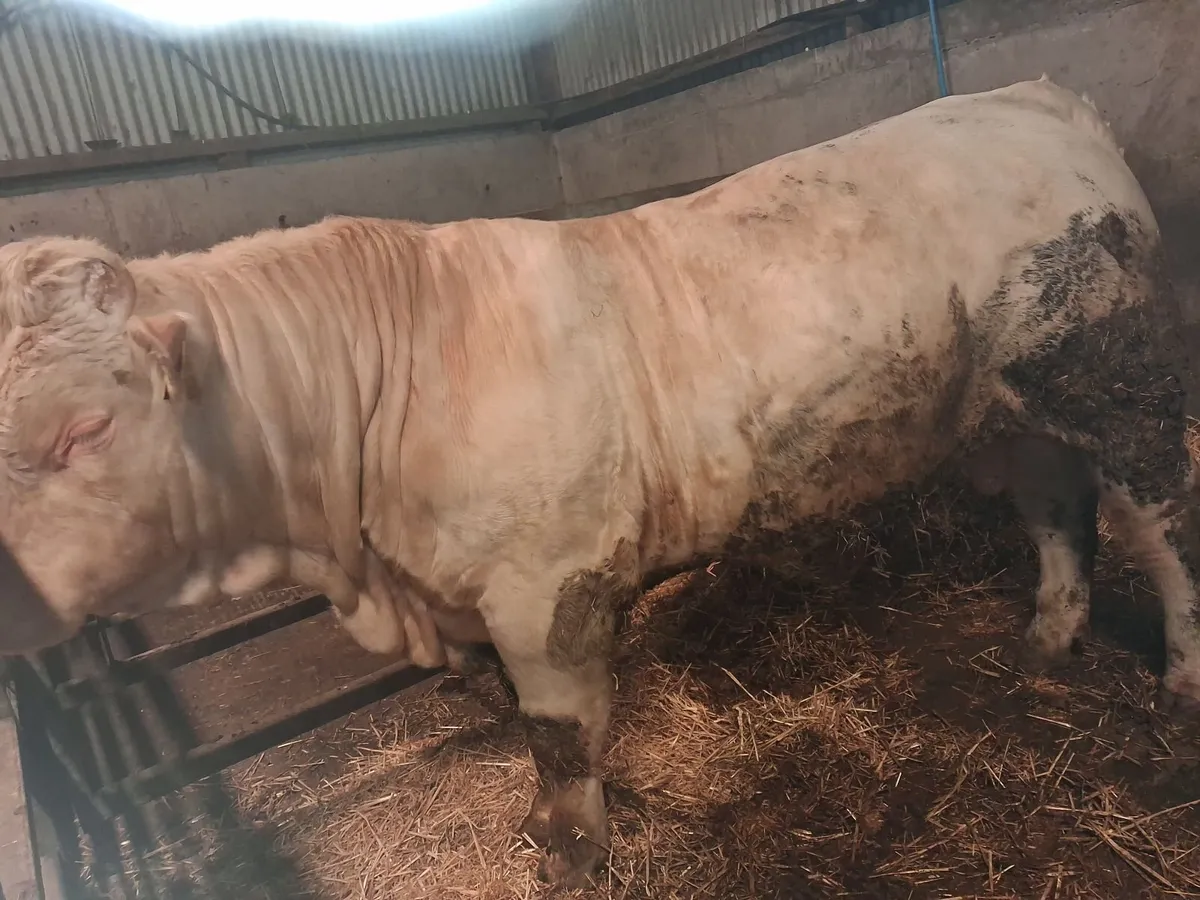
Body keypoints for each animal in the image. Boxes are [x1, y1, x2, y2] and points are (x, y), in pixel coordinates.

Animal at [0, 77, 1196, 886]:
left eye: (85, 428)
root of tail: (1028, 98)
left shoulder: (548, 587)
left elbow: (559, 733)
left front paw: (572, 849)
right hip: (1004, 408)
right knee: (1058, 509)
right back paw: (1046, 640)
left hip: (1113, 384)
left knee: (1166, 521)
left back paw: (1179, 683)